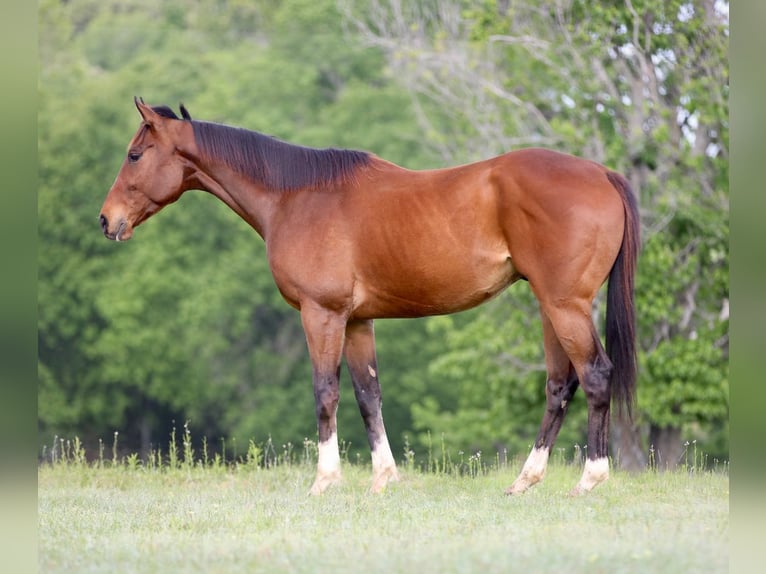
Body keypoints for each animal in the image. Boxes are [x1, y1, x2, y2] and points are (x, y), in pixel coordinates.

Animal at [100, 98, 639, 496]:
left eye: (134, 154)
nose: (107, 220)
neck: (297, 196)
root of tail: (602, 174)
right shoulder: (357, 321)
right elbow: (367, 396)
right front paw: (383, 479)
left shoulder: (322, 315)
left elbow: (326, 393)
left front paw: (324, 481)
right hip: (551, 307)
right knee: (559, 386)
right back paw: (525, 481)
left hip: (565, 307)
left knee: (595, 375)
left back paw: (590, 480)